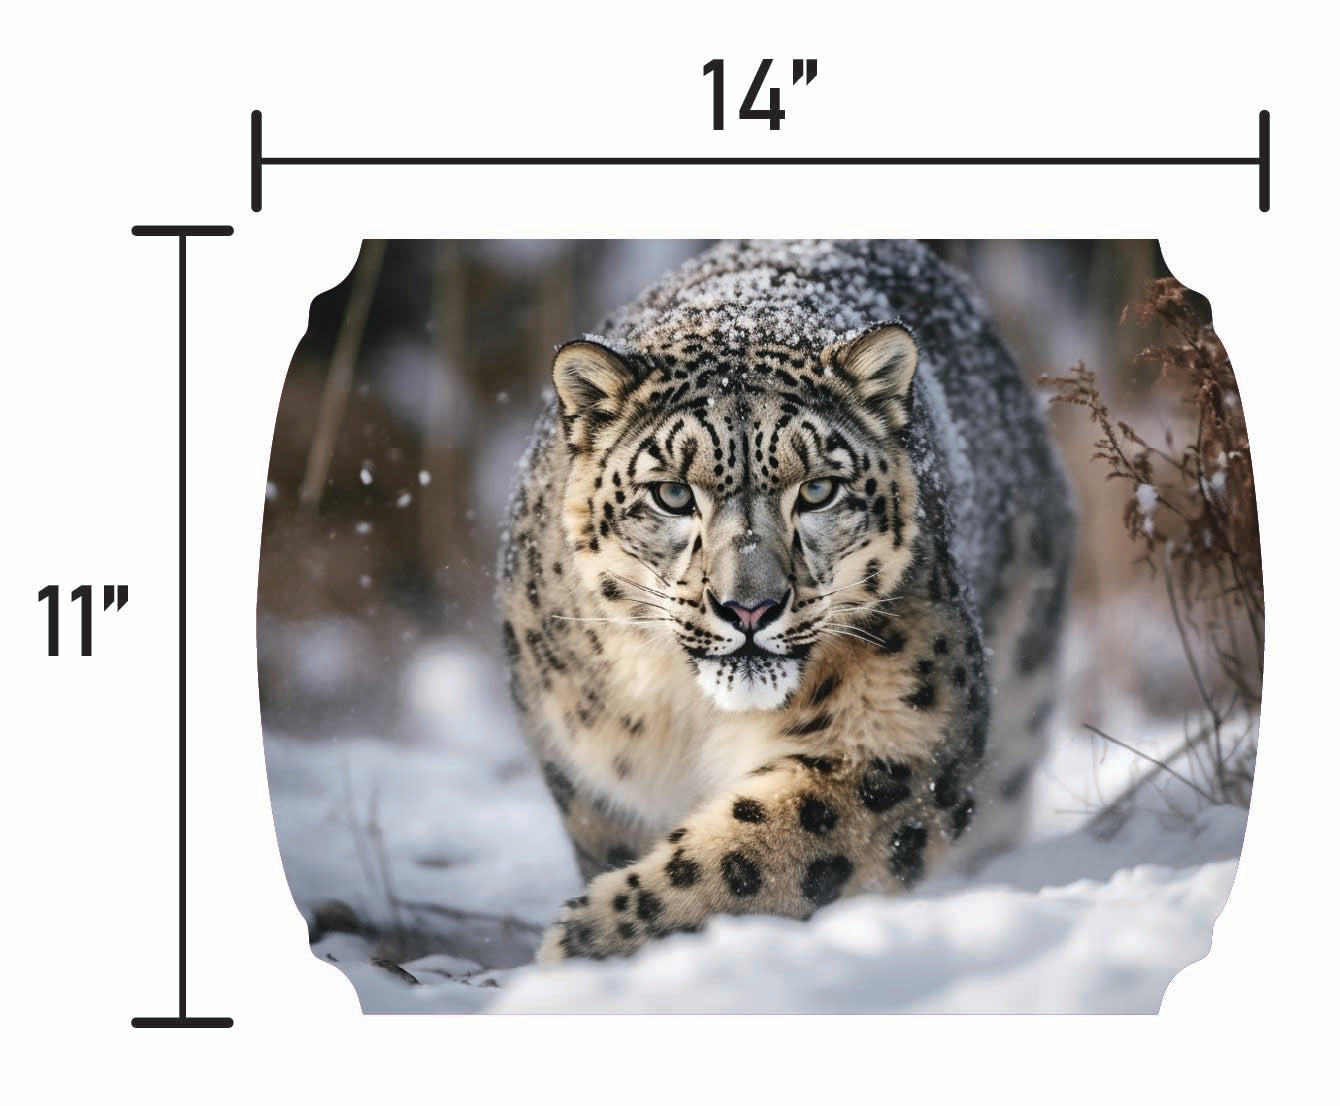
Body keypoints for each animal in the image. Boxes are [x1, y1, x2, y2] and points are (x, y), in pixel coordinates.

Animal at [497, 239, 1074, 961]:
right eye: (673, 494)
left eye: (819, 489)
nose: (750, 607)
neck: (691, 717)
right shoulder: (590, 771)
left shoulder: (898, 734)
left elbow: (763, 853)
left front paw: (591, 939)